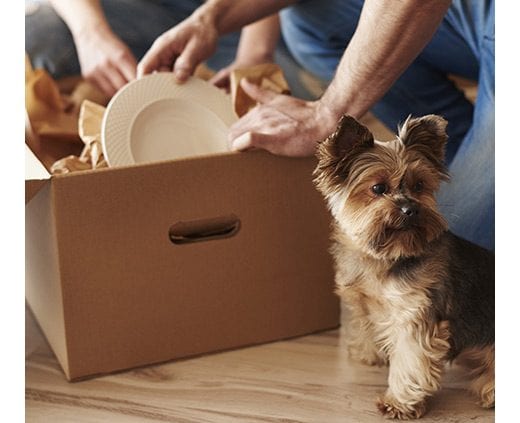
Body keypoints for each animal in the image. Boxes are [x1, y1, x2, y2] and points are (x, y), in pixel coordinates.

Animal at [312, 114, 496, 420]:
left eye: (419, 185)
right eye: (378, 188)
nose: (411, 209)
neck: (386, 256)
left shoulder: (415, 315)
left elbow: (410, 361)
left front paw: (398, 403)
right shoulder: (365, 301)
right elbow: (368, 325)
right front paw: (368, 353)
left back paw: (490, 390)